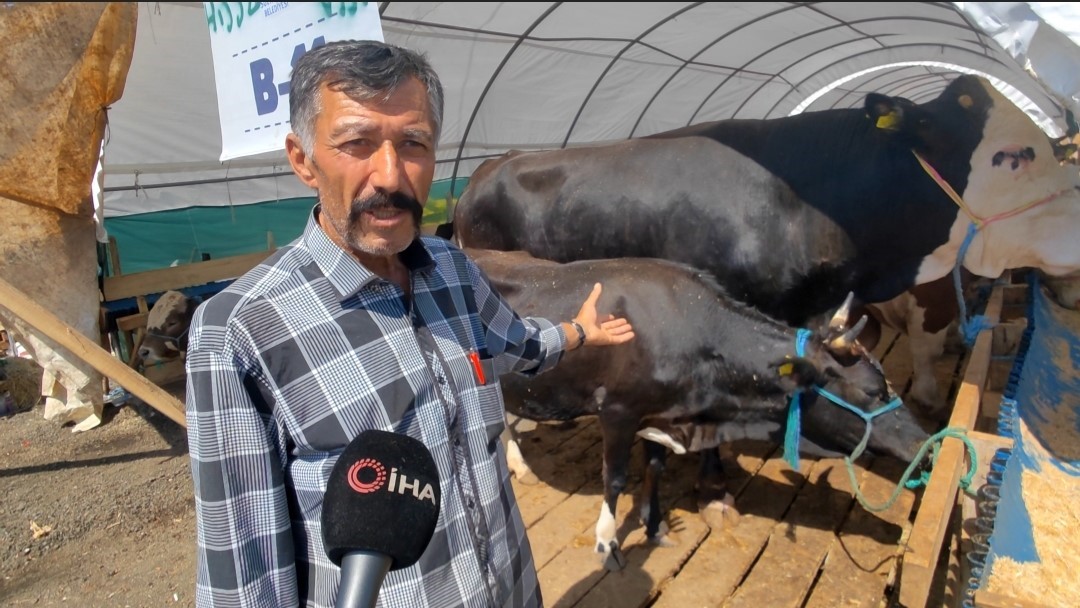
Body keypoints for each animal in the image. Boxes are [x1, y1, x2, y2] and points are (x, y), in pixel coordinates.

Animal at [468, 247, 933, 570]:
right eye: (872, 391)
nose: (927, 446)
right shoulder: (618, 410)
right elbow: (614, 479)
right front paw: (608, 544)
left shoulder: (658, 413)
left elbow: (654, 468)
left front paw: (654, 526)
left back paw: (520, 466)